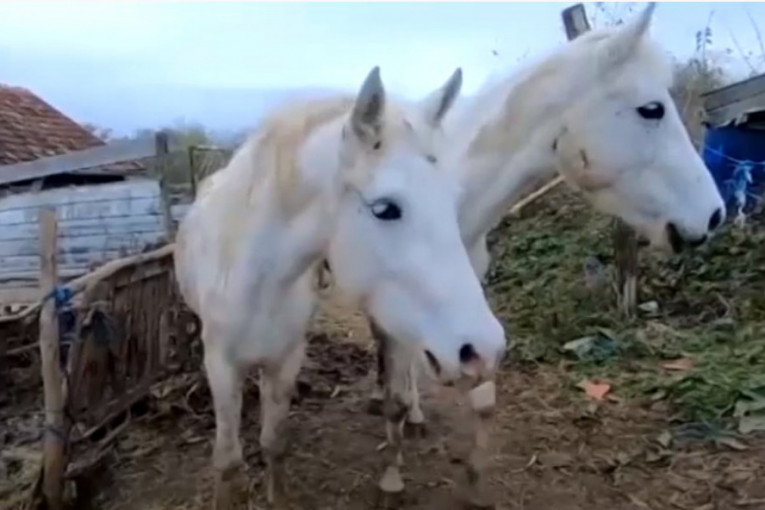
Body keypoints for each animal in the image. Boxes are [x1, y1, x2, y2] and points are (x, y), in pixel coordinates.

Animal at [174, 66, 506, 509]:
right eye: (385, 209)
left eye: (451, 199)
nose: (484, 351)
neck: (258, 279)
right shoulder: (222, 366)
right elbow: (227, 462)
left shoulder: (286, 359)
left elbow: (274, 441)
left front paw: (278, 497)